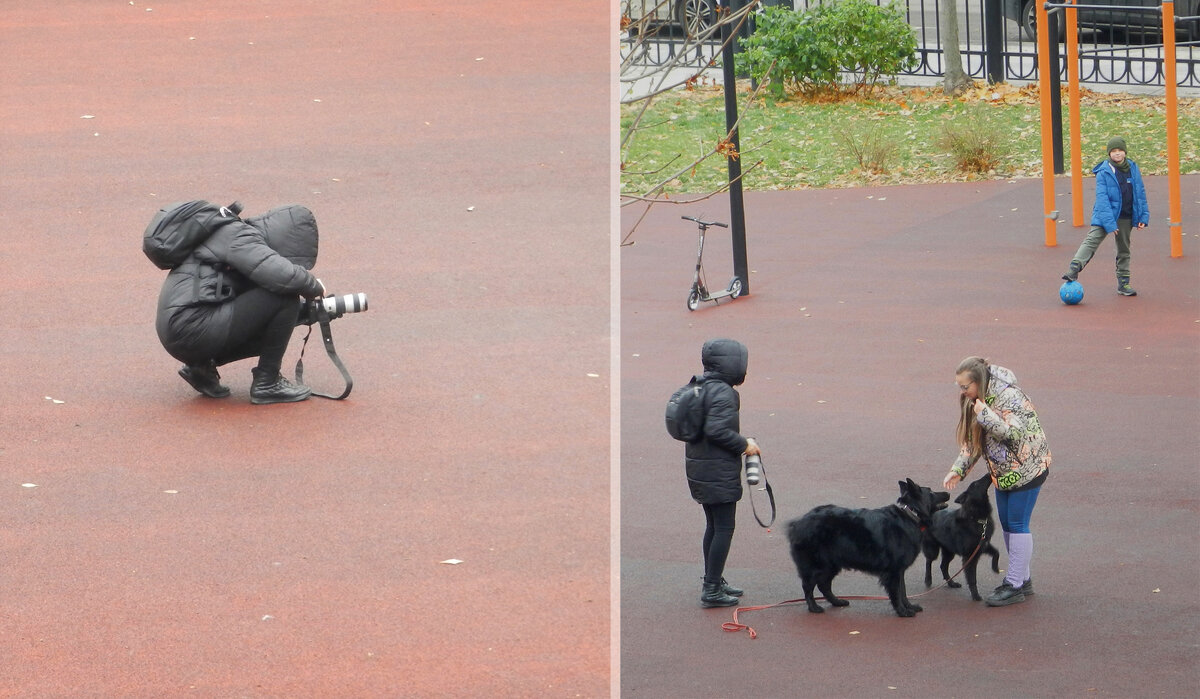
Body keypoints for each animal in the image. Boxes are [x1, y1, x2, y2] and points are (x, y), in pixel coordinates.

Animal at [782, 482, 950, 619]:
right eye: (931, 492)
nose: (948, 493)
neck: (910, 514)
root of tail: (796, 524)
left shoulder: (899, 571)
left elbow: (903, 591)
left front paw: (909, 606)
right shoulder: (894, 572)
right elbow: (897, 593)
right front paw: (902, 611)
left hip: (831, 566)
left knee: (824, 585)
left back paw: (837, 602)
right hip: (817, 566)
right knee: (808, 587)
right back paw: (814, 607)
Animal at [916, 470, 1003, 602]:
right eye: (976, 484)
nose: (989, 474)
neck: (977, 518)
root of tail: (931, 513)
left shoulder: (983, 545)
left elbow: (997, 552)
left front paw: (995, 568)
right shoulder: (969, 556)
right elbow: (972, 578)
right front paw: (975, 596)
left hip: (949, 552)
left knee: (943, 566)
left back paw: (951, 583)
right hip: (933, 550)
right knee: (929, 561)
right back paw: (928, 580)